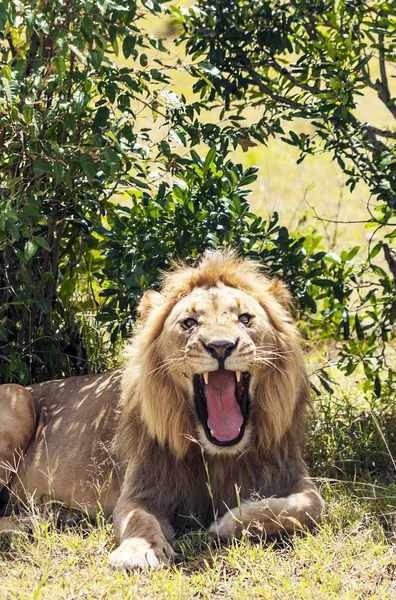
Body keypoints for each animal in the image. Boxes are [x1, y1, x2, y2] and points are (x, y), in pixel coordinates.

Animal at [0, 251, 324, 568]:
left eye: (245, 319)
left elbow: (310, 505)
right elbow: (138, 520)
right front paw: (138, 552)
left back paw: (55, 514)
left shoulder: (289, 472)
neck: (218, 455)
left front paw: (230, 522)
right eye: (189, 323)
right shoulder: (140, 490)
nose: (220, 346)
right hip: (17, 397)